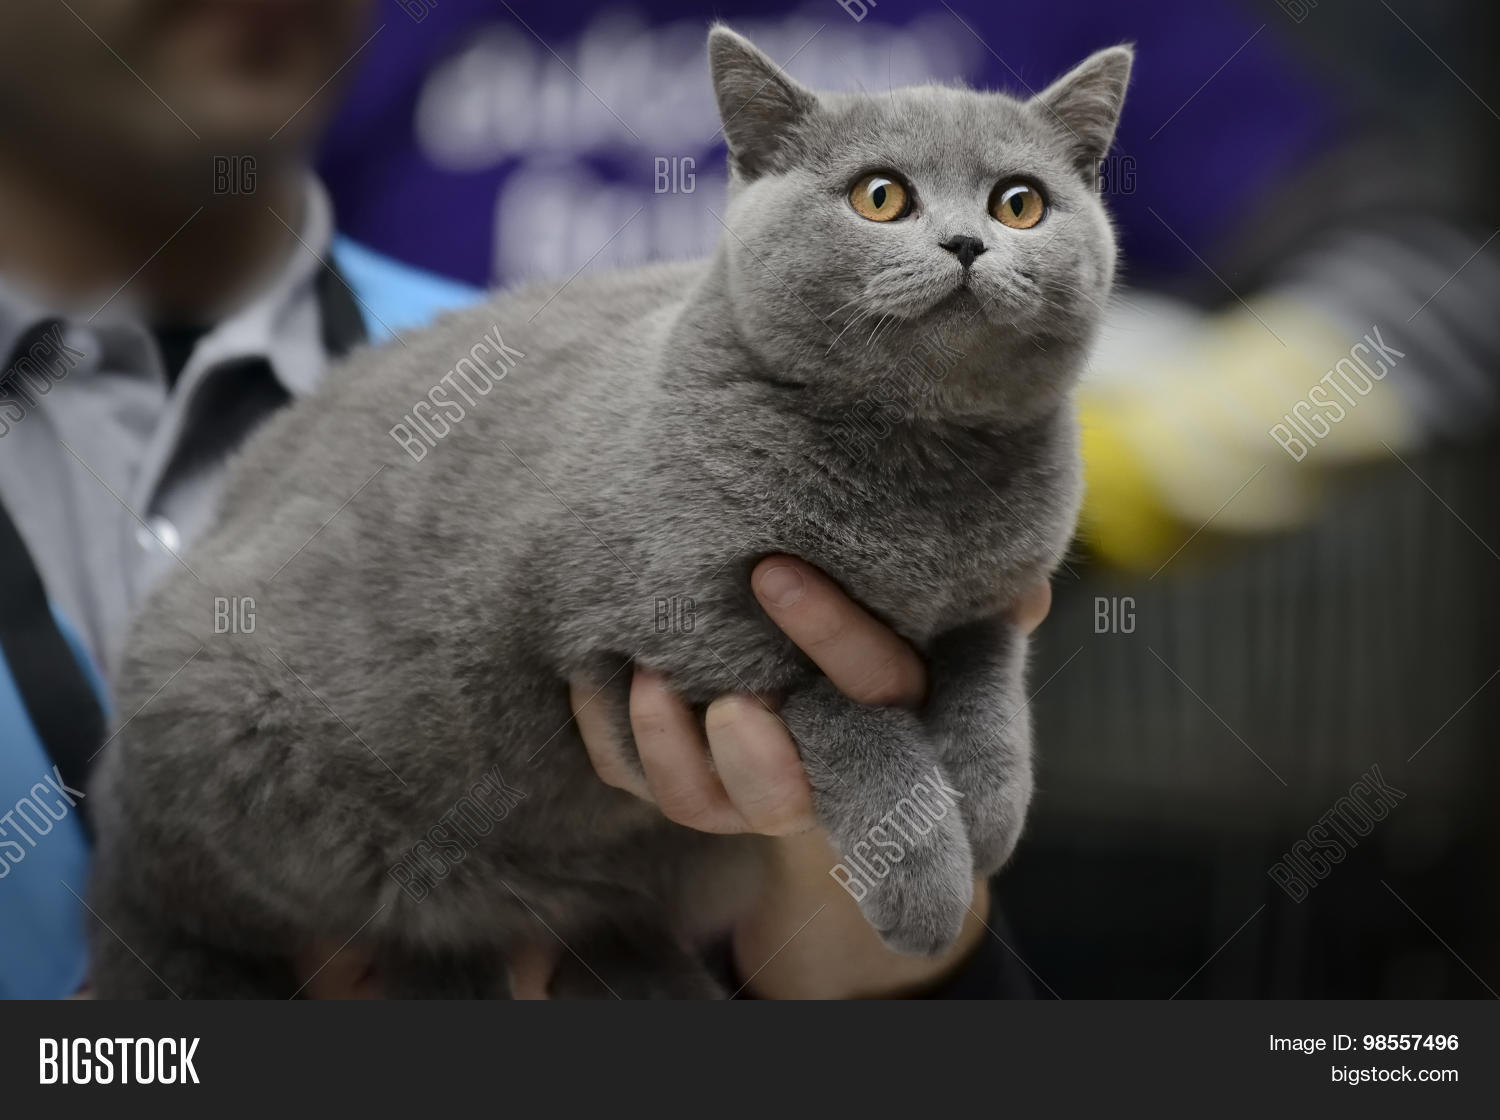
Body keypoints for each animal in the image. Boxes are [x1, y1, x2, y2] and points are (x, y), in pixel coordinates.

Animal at [88, 25, 1130, 998]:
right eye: (881, 196)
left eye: (1019, 202)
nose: (967, 242)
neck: (918, 479)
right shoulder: (680, 648)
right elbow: (851, 720)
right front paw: (927, 880)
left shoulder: (995, 596)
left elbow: (991, 680)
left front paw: (989, 810)